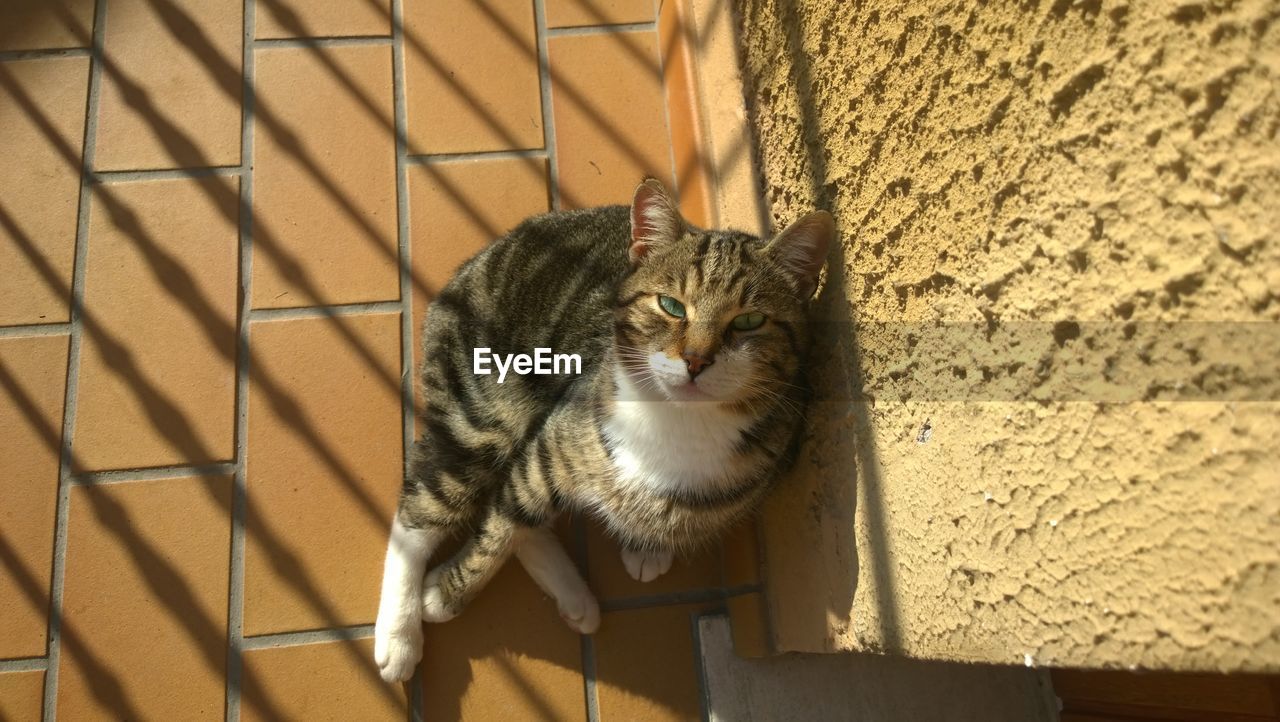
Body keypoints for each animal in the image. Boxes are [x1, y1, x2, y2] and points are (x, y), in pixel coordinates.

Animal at [373, 176, 829, 681]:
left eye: (749, 320)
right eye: (671, 306)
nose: (695, 360)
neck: (677, 420)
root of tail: (479, 259)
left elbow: (520, 517)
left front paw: (648, 546)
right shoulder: (551, 445)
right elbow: (497, 534)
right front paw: (447, 593)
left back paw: (575, 598)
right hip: (483, 415)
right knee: (423, 509)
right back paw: (399, 637)